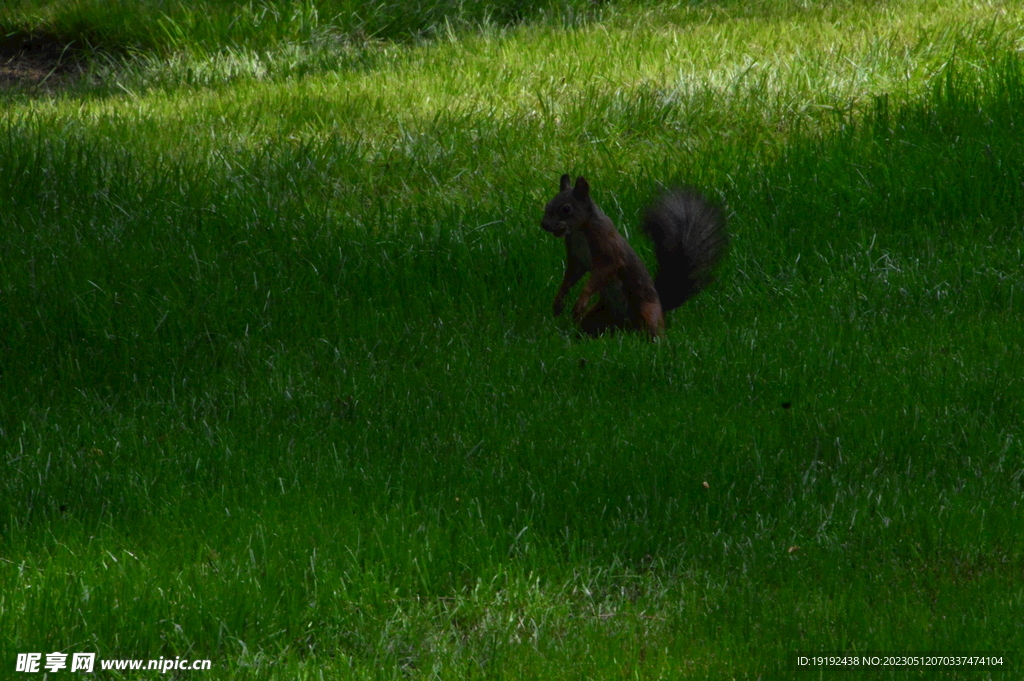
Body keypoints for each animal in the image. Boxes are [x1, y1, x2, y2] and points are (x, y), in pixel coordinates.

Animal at [540, 173, 733, 337]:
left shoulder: (608, 249)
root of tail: (626, 325)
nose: (544, 225)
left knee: (654, 328)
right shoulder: (577, 258)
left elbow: (603, 271)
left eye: (566, 209)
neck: (579, 231)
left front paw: (581, 300)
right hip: (598, 316)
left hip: (647, 310)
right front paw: (558, 300)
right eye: (547, 205)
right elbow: (571, 276)